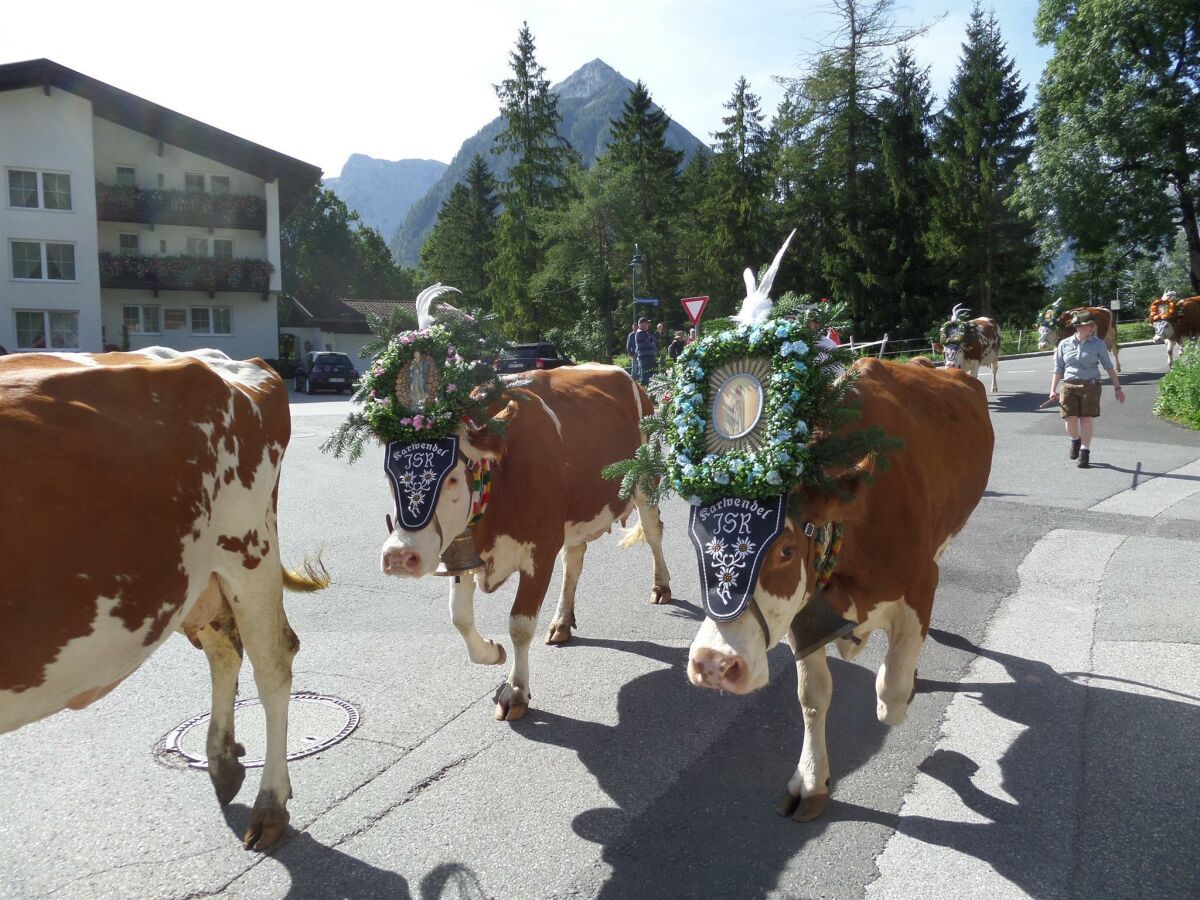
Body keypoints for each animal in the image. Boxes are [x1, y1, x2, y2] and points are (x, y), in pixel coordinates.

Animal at [0, 348, 328, 849]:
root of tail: (228, 360)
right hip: (195, 577)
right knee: (225, 650)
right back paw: (224, 764)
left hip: (246, 549)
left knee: (272, 662)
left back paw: (268, 804)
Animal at [379, 362, 672, 724]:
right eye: (389, 476)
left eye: (452, 478)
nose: (399, 555)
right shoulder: (462, 549)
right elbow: (459, 618)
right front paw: (492, 652)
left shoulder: (541, 548)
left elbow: (519, 625)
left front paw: (516, 691)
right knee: (574, 560)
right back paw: (561, 621)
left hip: (645, 479)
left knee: (654, 532)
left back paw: (661, 586)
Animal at [686, 360, 993, 825]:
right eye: (698, 544)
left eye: (786, 550)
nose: (713, 663)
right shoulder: (804, 614)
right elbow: (813, 696)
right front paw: (813, 779)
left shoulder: (922, 584)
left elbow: (889, 692)